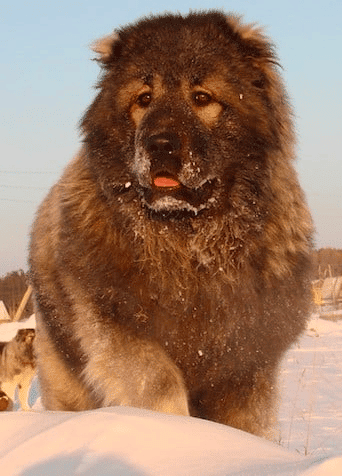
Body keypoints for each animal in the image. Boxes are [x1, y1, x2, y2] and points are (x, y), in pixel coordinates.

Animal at [29, 11, 312, 436]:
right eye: (144, 99)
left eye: (202, 98)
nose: (159, 144)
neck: (189, 243)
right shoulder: (121, 332)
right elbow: (161, 383)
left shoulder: (245, 364)